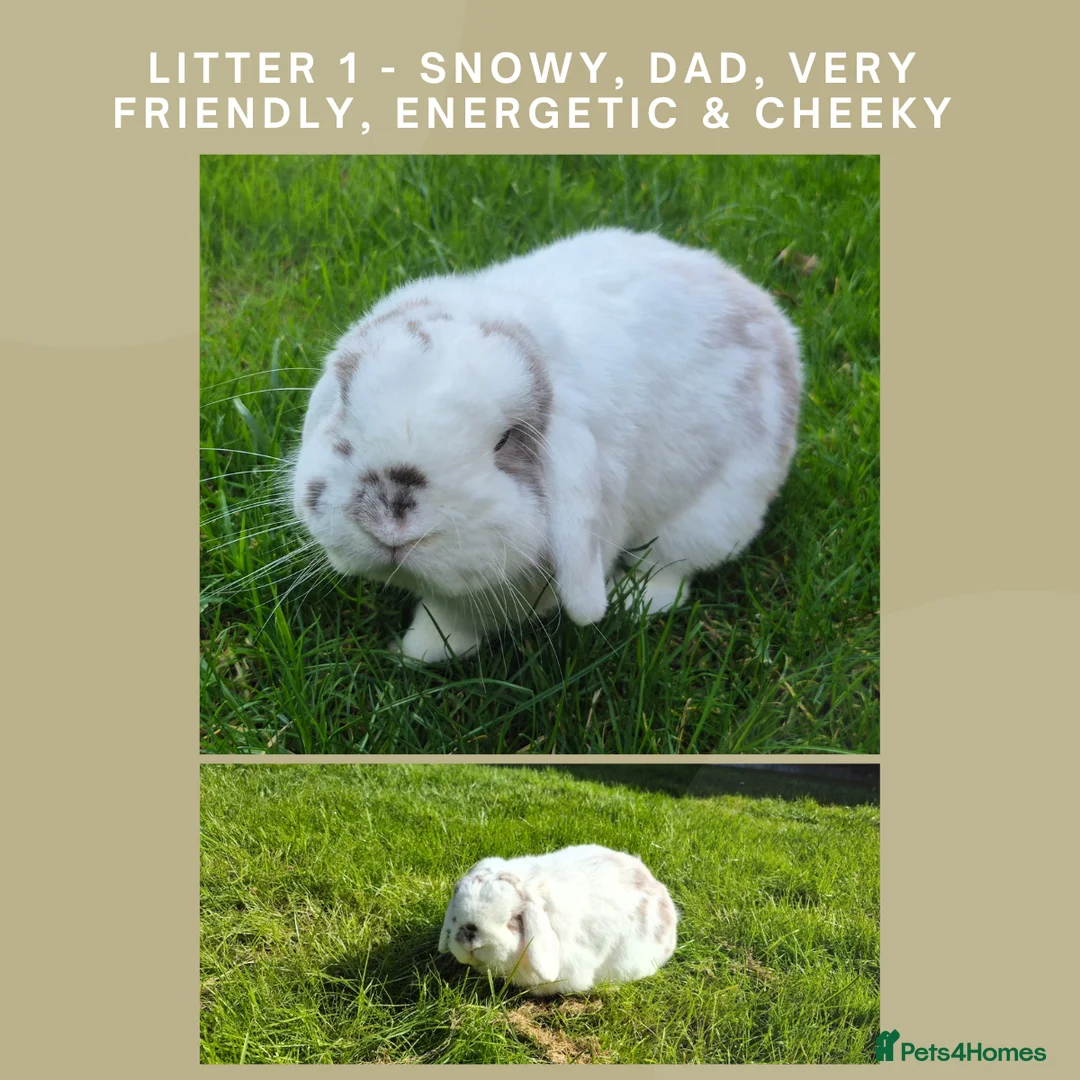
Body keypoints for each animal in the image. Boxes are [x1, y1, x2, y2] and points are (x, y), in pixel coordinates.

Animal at [291, 227, 802, 662]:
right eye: (344, 403)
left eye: (504, 441)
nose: (391, 521)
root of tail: (776, 323)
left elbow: (449, 622)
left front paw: (411, 655)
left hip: (712, 515)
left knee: (672, 573)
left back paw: (630, 600)